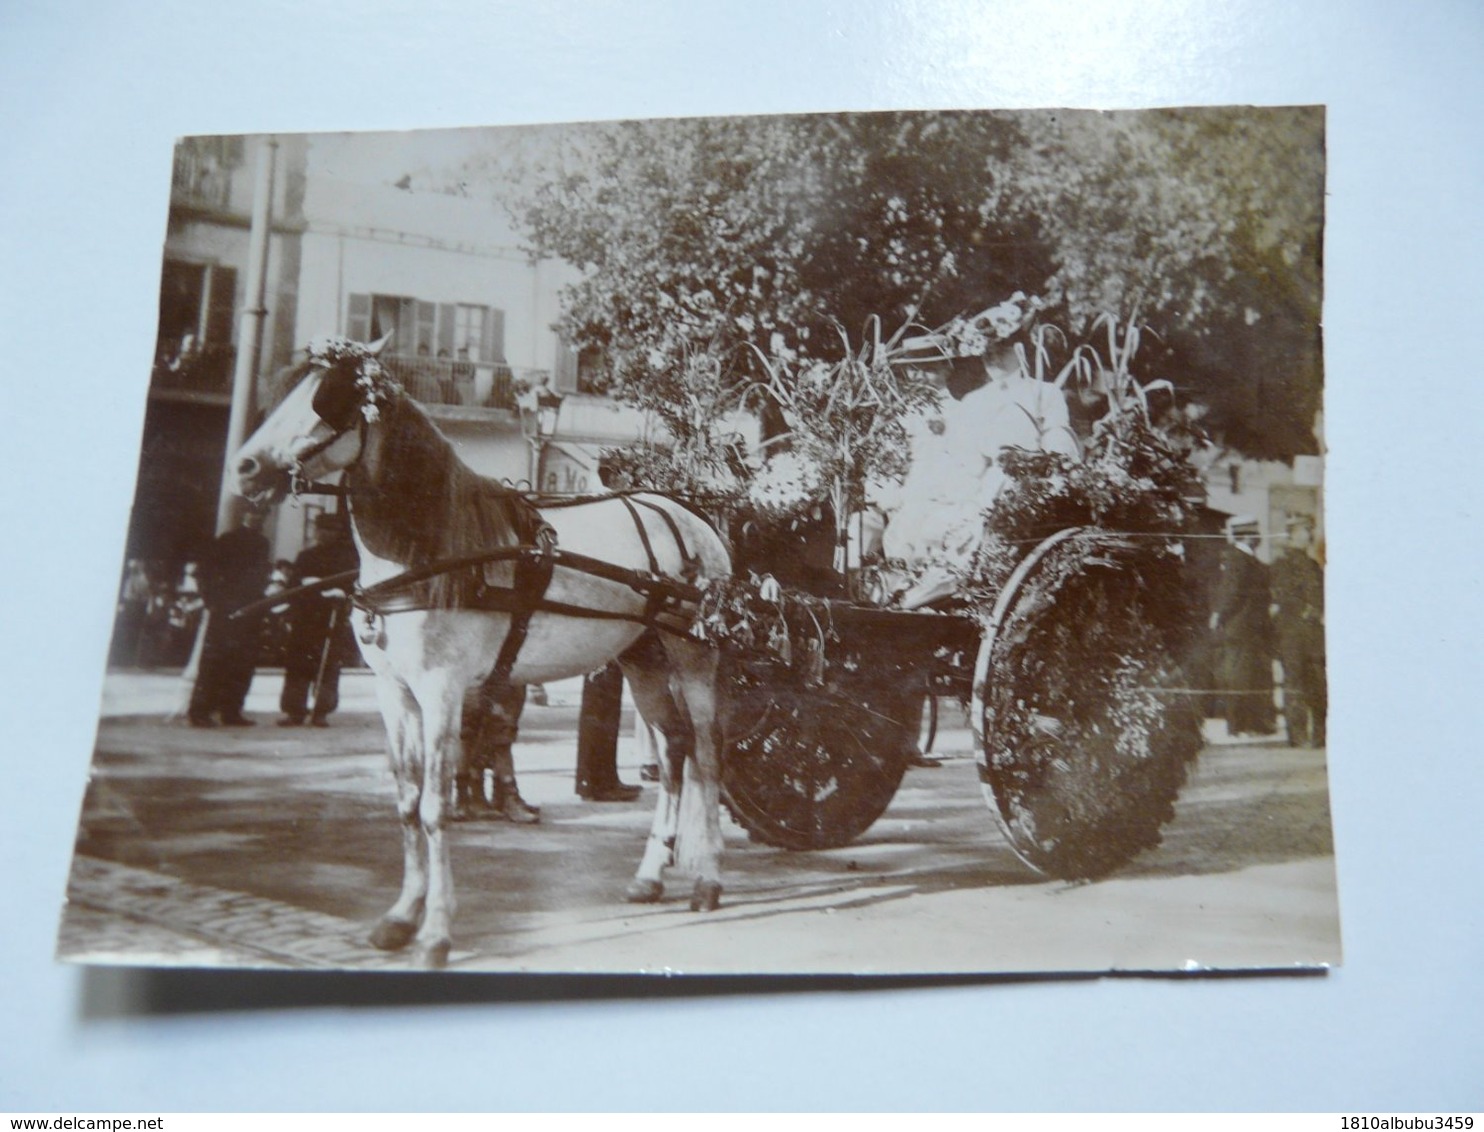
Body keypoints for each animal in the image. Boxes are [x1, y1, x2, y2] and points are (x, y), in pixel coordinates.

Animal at [230, 336, 730, 967]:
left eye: (329, 397)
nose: (243, 467)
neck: (428, 548)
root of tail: (691, 517)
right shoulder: (396, 693)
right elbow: (406, 801)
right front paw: (400, 916)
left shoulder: (442, 690)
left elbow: (434, 808)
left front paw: (436, 932)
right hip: (641, 657)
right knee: (672, 749)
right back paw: (650, 874)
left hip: (693, 655)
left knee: (707, 755)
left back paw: (708, 879)